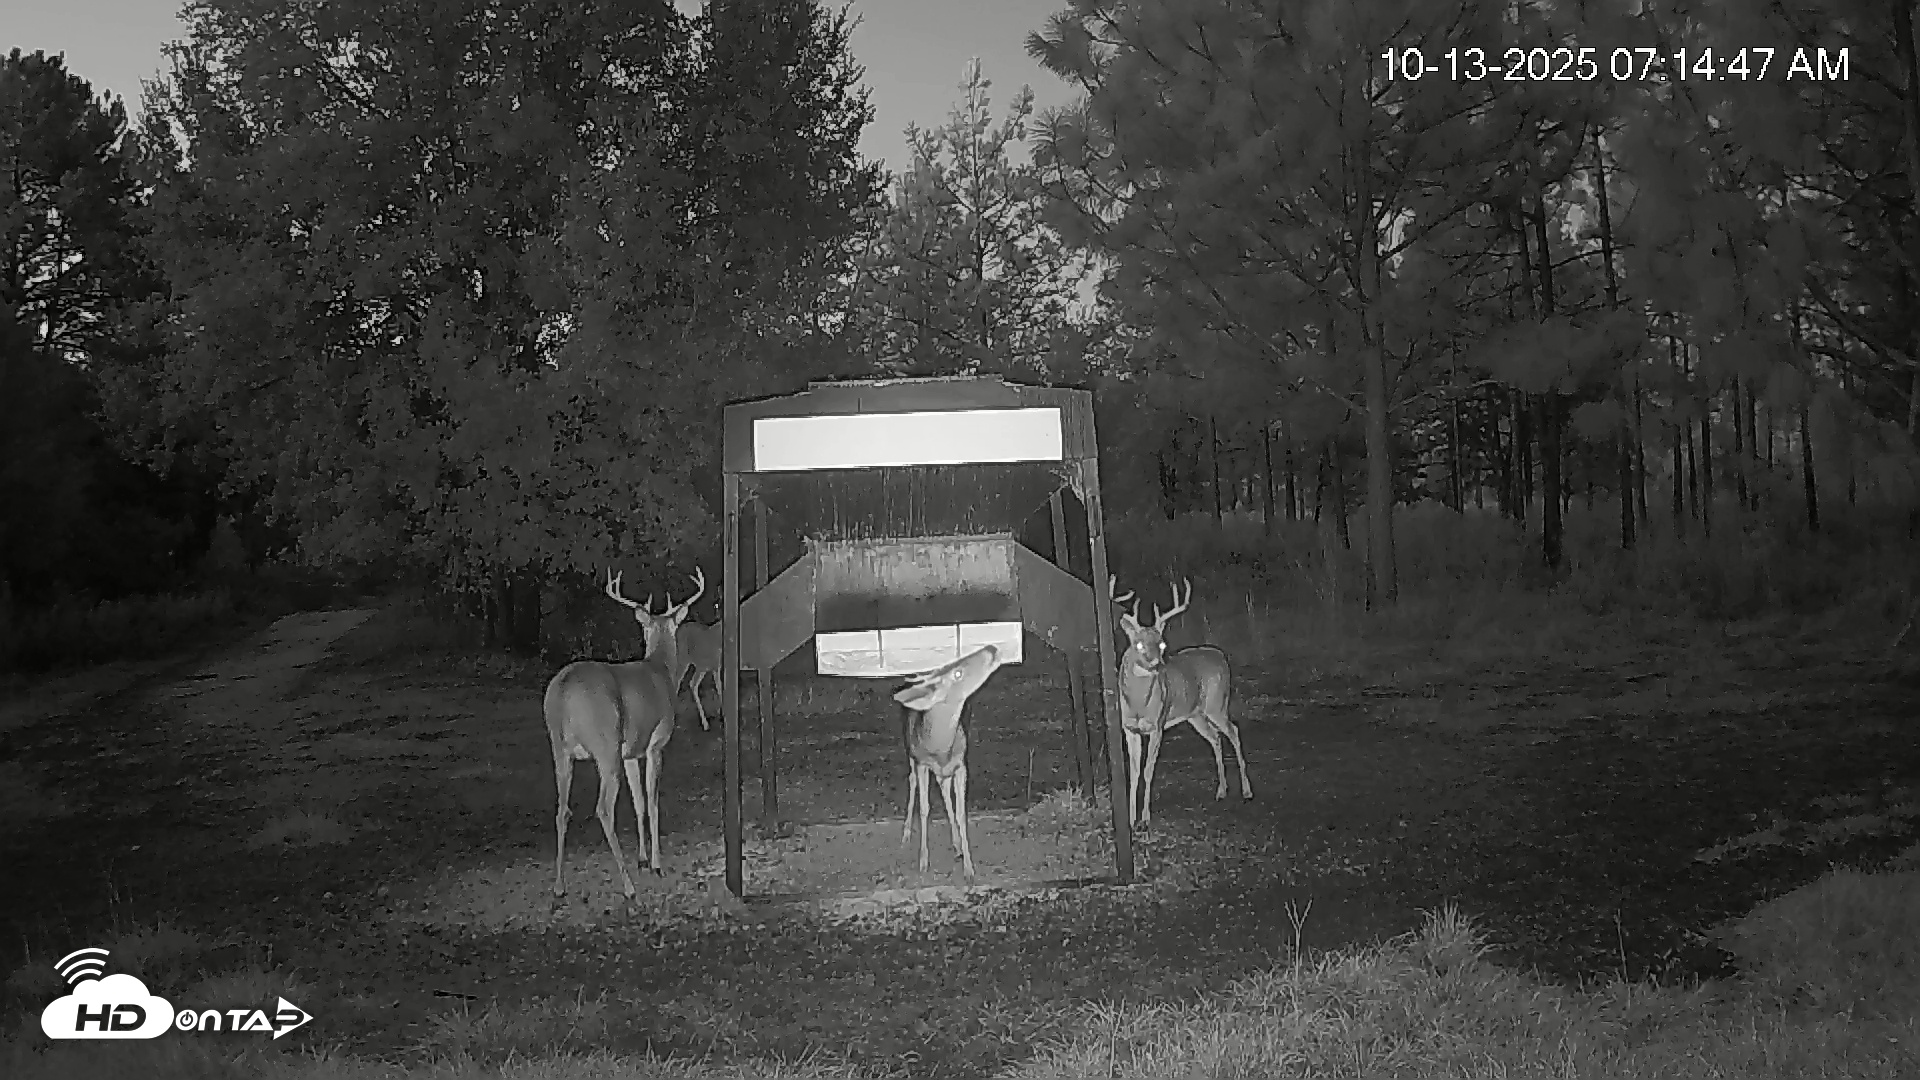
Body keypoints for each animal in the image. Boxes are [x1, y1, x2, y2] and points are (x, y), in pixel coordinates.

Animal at [543, 566, 704, 904]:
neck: (662, 670)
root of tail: (562, 691)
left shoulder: (630, 752)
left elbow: (638, 801)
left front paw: (642, 858)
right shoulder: (656, 743)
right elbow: (653, 801)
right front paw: (655, 863)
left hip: (560, 748)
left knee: (562, 810)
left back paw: (559, 885)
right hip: (605, 745)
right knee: (603, 809)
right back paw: (628, 886)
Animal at [892, 644, 1008, 880]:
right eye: (957, 673)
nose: (992, 648)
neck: (941, 749)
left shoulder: (961, 764)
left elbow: (961, 812)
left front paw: (969, 868)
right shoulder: (922, 763)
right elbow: (925, 808)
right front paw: (923, 862)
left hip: (944, 771)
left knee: (944, 789)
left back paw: (956, 845)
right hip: (910, 752)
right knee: (912, 781)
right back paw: (906, 834)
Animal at [1110, 576, 1252, 830]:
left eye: (1162, 644)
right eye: (1138, 644)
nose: (1157, 664)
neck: (1138, 703)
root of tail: (1221, 656)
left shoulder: (1157, 726)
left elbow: (1148, 770)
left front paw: (1145, 818)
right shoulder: (1130, 728)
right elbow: (1134, 772)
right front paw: (1130, 819)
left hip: (1217, 703)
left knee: (1233, 731)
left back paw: (1246, 791)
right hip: (1195, 714)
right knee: (1216, 737)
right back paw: (1221, 791)